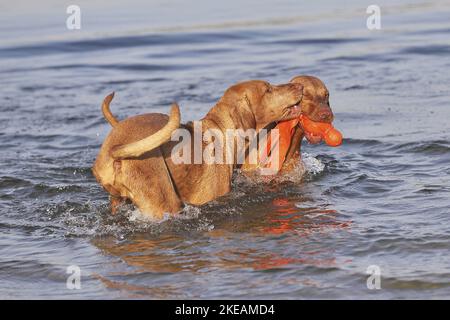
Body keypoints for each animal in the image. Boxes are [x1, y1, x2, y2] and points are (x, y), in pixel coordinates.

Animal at [92, 79, 304, 218]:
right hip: (164, 202)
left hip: (117, 201)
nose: (300, 85)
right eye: (268, 90)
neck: (222, 130)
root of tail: (115, 149)